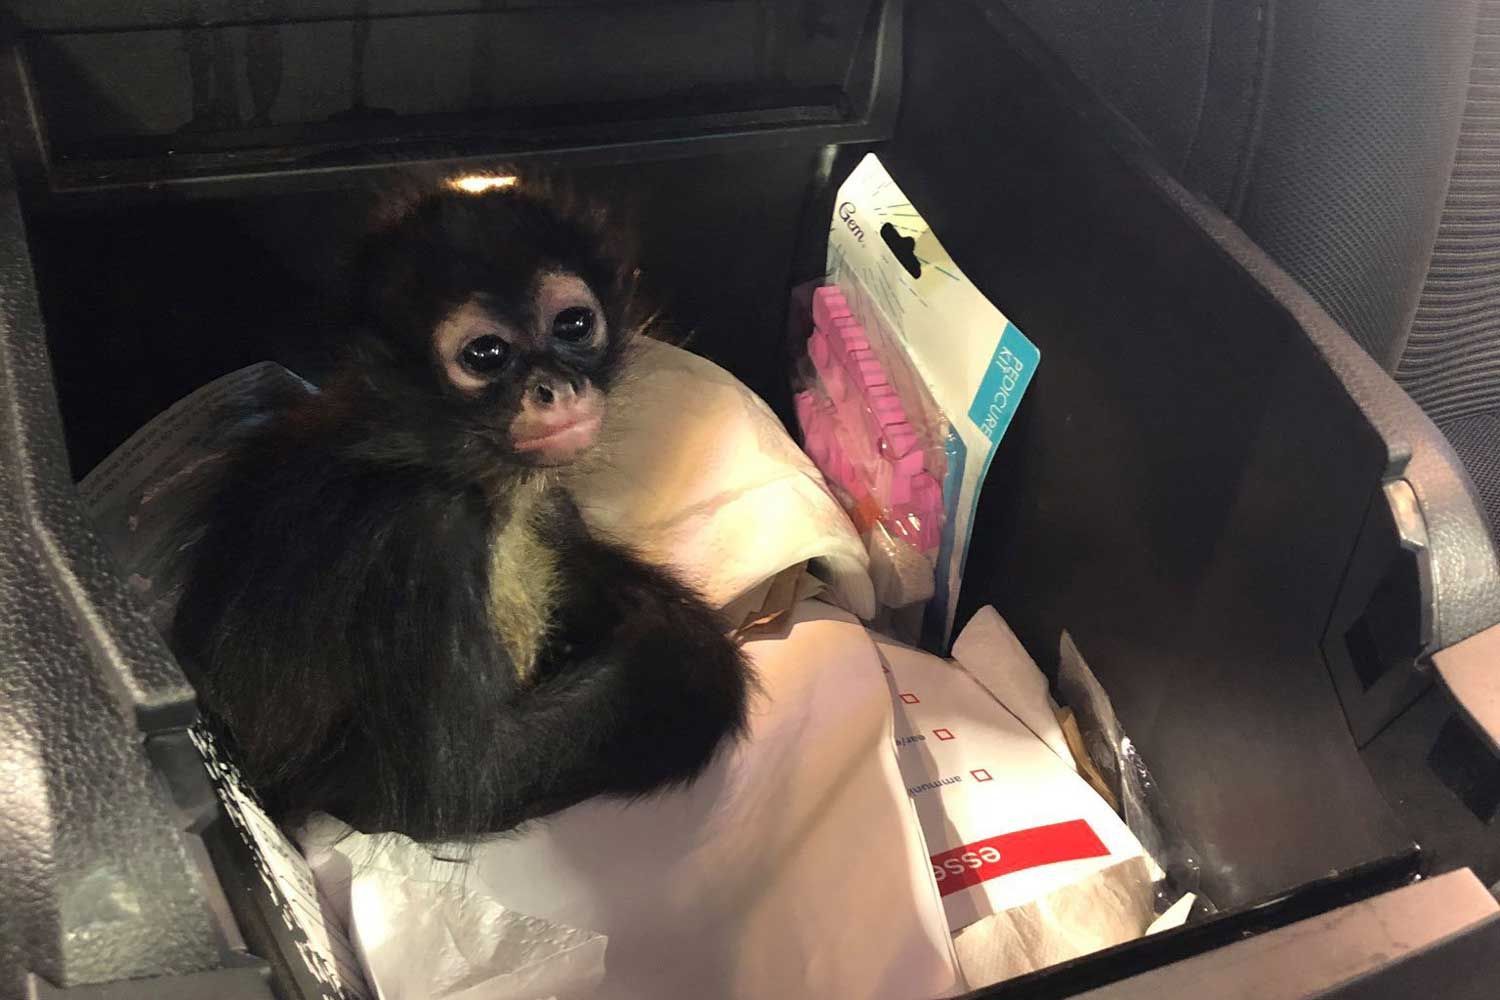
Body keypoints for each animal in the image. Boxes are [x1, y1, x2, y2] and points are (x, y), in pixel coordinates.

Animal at [169, 176, 752, 842]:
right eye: (486, 355)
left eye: (574, 323)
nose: (555, 389)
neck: (430, 452)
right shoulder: (426, 537)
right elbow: (448, 790)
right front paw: (686, 646)